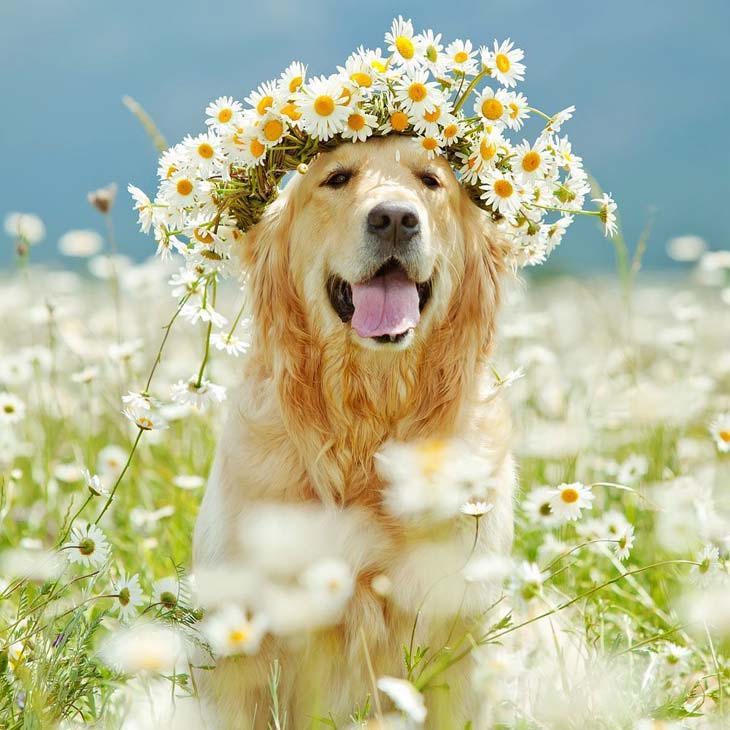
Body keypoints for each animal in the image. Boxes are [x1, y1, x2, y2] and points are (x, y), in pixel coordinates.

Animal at [191, 134, 516, 724]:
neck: (369, 423)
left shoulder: (460, 629)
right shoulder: (240, 637)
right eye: (336, 179)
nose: (395, 219)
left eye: (430, 181)